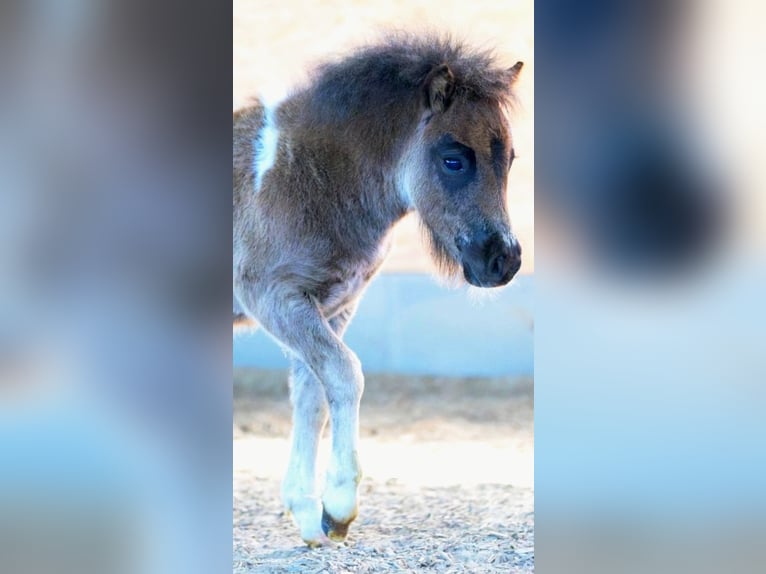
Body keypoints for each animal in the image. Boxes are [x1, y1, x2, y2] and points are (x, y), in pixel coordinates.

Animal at [233, 34, 523, 546]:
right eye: (453, 160)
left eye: (509, 160)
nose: (503, 260)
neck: (312, 181)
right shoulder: (272, 296)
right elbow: (345, 373)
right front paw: (339, 507)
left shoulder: (333, 306)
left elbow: (312, 393)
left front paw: (309, 514)